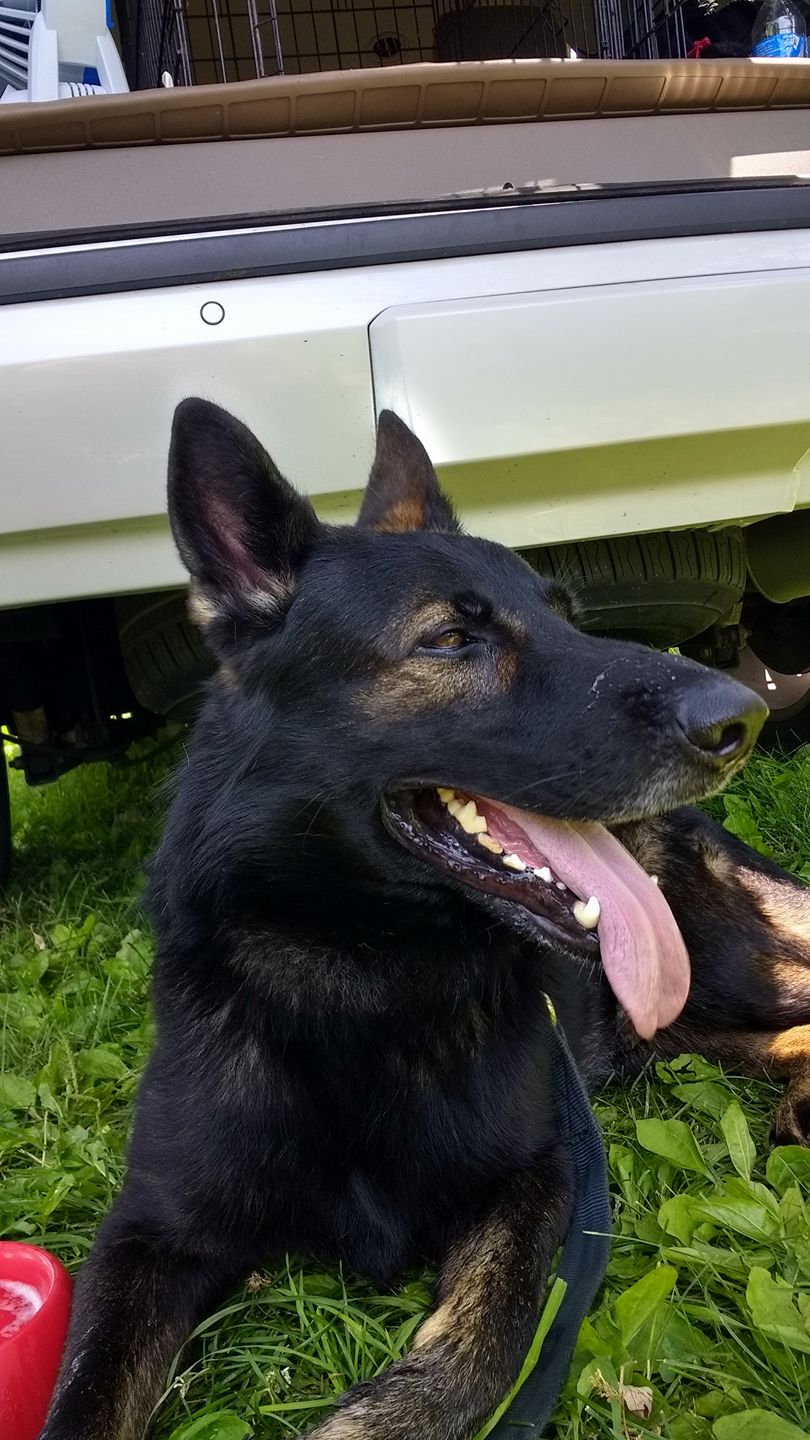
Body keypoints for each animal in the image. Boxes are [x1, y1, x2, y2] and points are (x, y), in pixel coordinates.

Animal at [39, 401, 810, 1440]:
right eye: (449, 639)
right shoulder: (147, 1232)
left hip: (721, 965)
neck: (359, 979)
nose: (744, 722)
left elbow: (485, 1340)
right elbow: (83, 1394)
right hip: (679, 1022)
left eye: (568, 617)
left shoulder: (542, 1178)